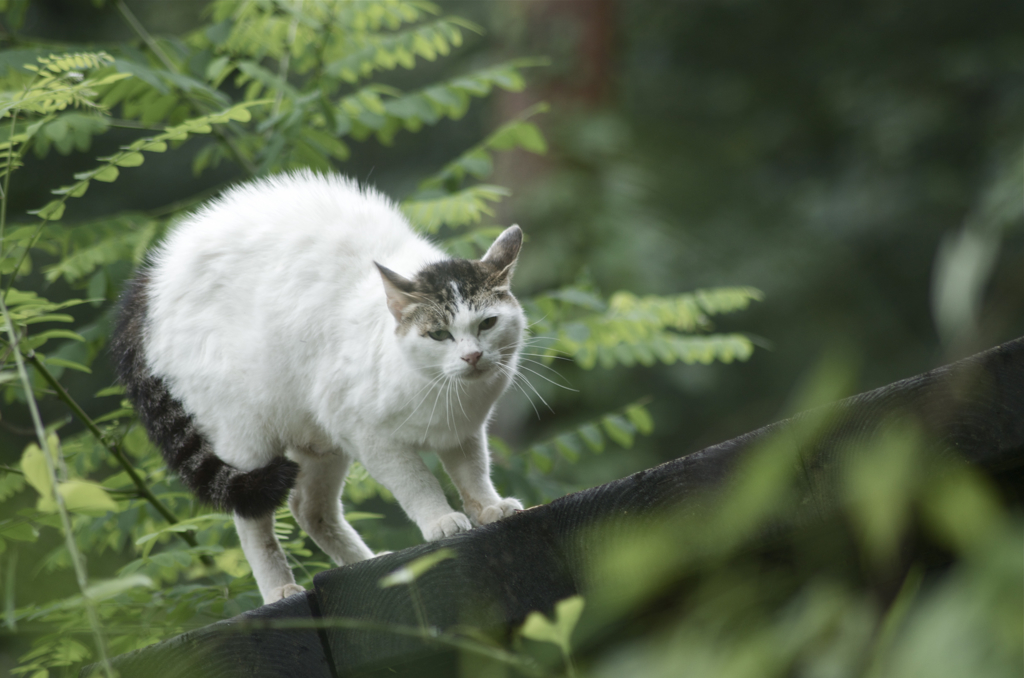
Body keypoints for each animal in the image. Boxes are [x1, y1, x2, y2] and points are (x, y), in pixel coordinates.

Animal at [110, 171, 528, 606]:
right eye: (439, 334)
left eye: (487, 324)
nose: (473, 357)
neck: (442, 391)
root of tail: (153, 276)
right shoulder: (373, 439)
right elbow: (416, 483)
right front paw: (440, 519)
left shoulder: (463, 433)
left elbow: (473, 474)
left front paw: (489, 508)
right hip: (248, 437)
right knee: (252, 517)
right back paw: (279, 589)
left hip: (319, 442)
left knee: (308, 508)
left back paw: (364, 563)